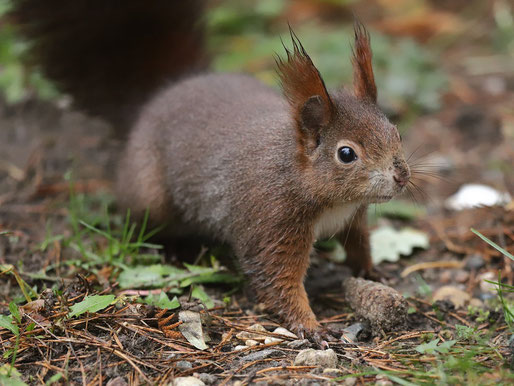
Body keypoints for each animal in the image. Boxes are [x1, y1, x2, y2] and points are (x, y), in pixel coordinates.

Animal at [11, 0, 408, 338]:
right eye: (346, 154)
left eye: (395, 131)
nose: (401, 177)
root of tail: (161, 95)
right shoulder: (271, 221)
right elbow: (276, 279)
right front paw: (309, 325)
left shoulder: (352, 216)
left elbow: (358, 243)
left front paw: (372, 271)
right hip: (151, 196)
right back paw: (174, 251)